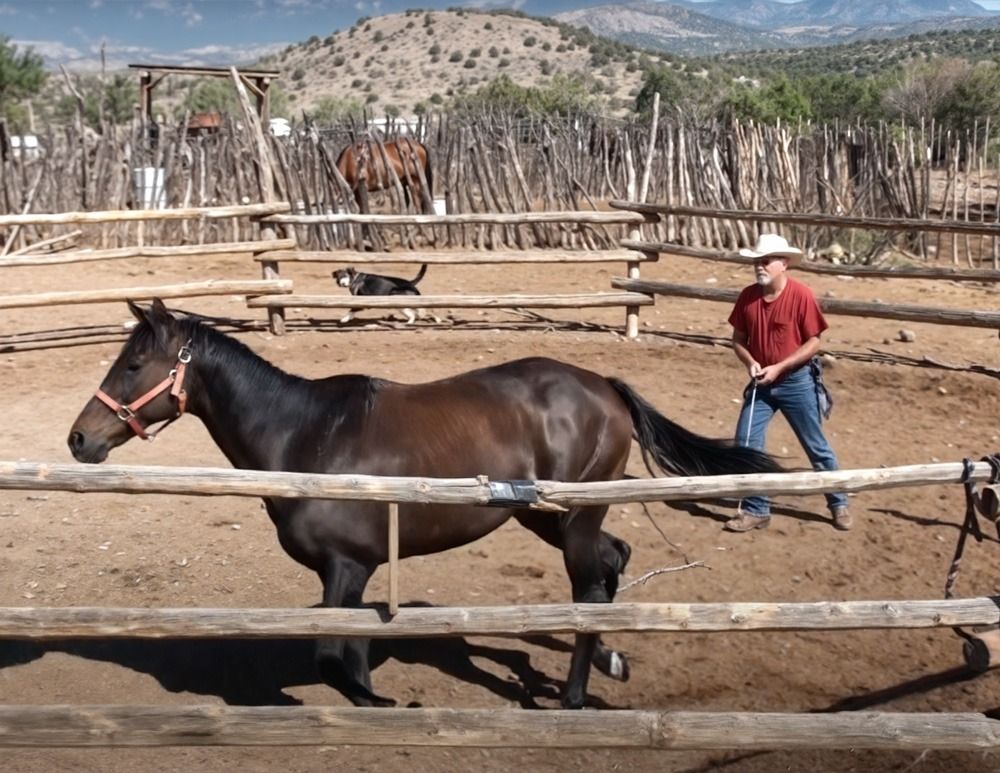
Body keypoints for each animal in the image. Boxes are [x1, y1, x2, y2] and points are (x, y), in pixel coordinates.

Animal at [67, 300, 781, 709]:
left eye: (132, 365)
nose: (79, 439)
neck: (305, 435)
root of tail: (603, 386)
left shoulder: (346, 566)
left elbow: (333, 661)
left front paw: (385, 706)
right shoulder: (354, 572)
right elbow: (349, 656)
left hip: (573, 518)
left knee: (588, 588)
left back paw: (576, 695)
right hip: (545, 516)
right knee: (614, 559)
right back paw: (613, 660)